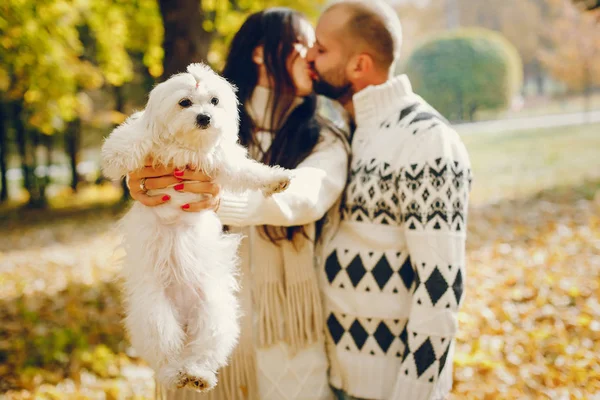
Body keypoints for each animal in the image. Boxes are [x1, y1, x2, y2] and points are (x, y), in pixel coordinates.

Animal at [101, 64, 292, 392]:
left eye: (214, 101)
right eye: (185, 103)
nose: (205, 117)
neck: (187, 146)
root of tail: (185, 316)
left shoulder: (222, 164)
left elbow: (249, 173)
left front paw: (276, 179)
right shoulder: (147, 141)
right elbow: (131, 140)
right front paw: (119, 154)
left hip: (214, 313)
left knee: (204, 350)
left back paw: (198, 374)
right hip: (154, 313)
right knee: (167, 352)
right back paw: (176, 374)